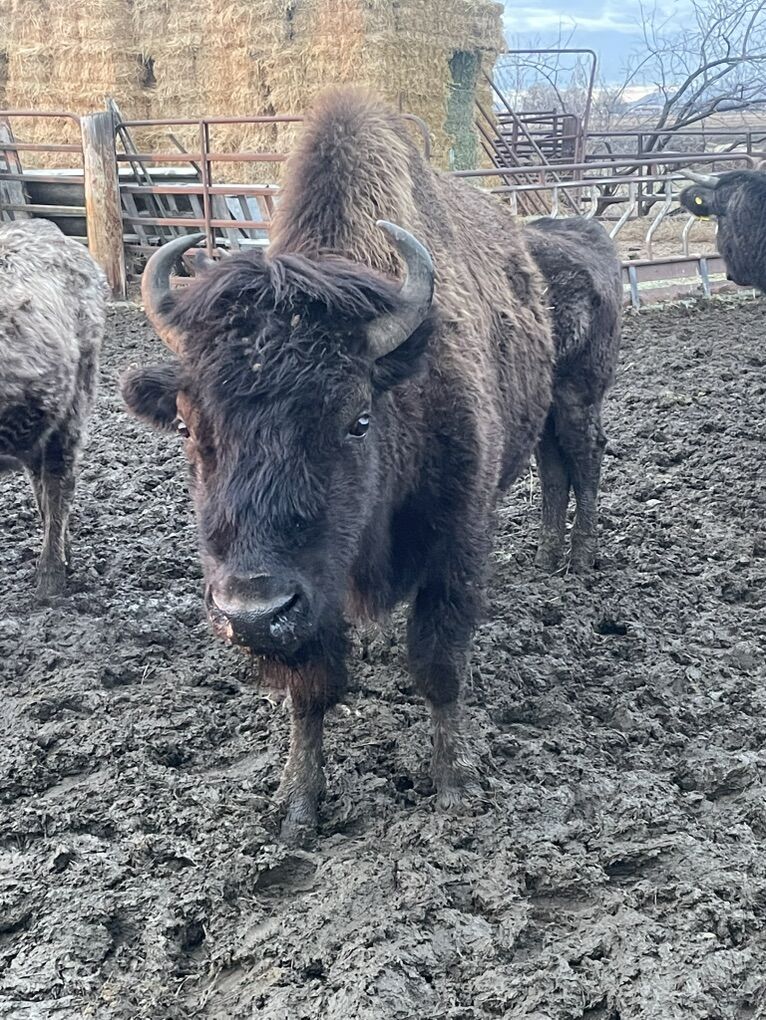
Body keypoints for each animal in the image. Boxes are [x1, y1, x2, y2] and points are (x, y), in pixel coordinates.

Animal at [122, 88, 620, 839]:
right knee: (556, 471)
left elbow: (439, 664)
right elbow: (310, 691)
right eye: (186, 425)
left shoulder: (454, 544)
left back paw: (579, 563)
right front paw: (298, 807)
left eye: (356, 420)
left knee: (582, 464)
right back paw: (547, 556)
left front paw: (453, 787)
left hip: (577, 397)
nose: (251, 614)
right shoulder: (314, 588)